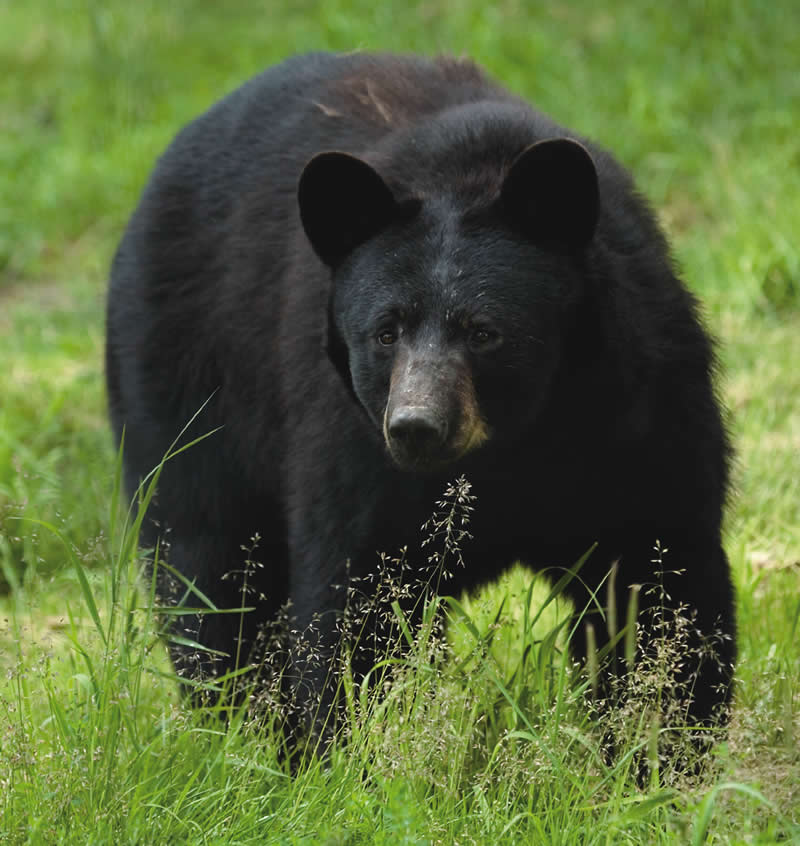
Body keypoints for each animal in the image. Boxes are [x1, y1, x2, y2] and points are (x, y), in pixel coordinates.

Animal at [106, 53, 736, 744]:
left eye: (485, 332)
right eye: (386, 332)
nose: (417, 426)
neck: (517, 444)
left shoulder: (640, 412)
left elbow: (659, 584)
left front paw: (660, 748)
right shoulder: (353, 448)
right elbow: (353, 602)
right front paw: (329, 748)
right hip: (187, 384)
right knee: (207, 566)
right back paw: (237, 723)